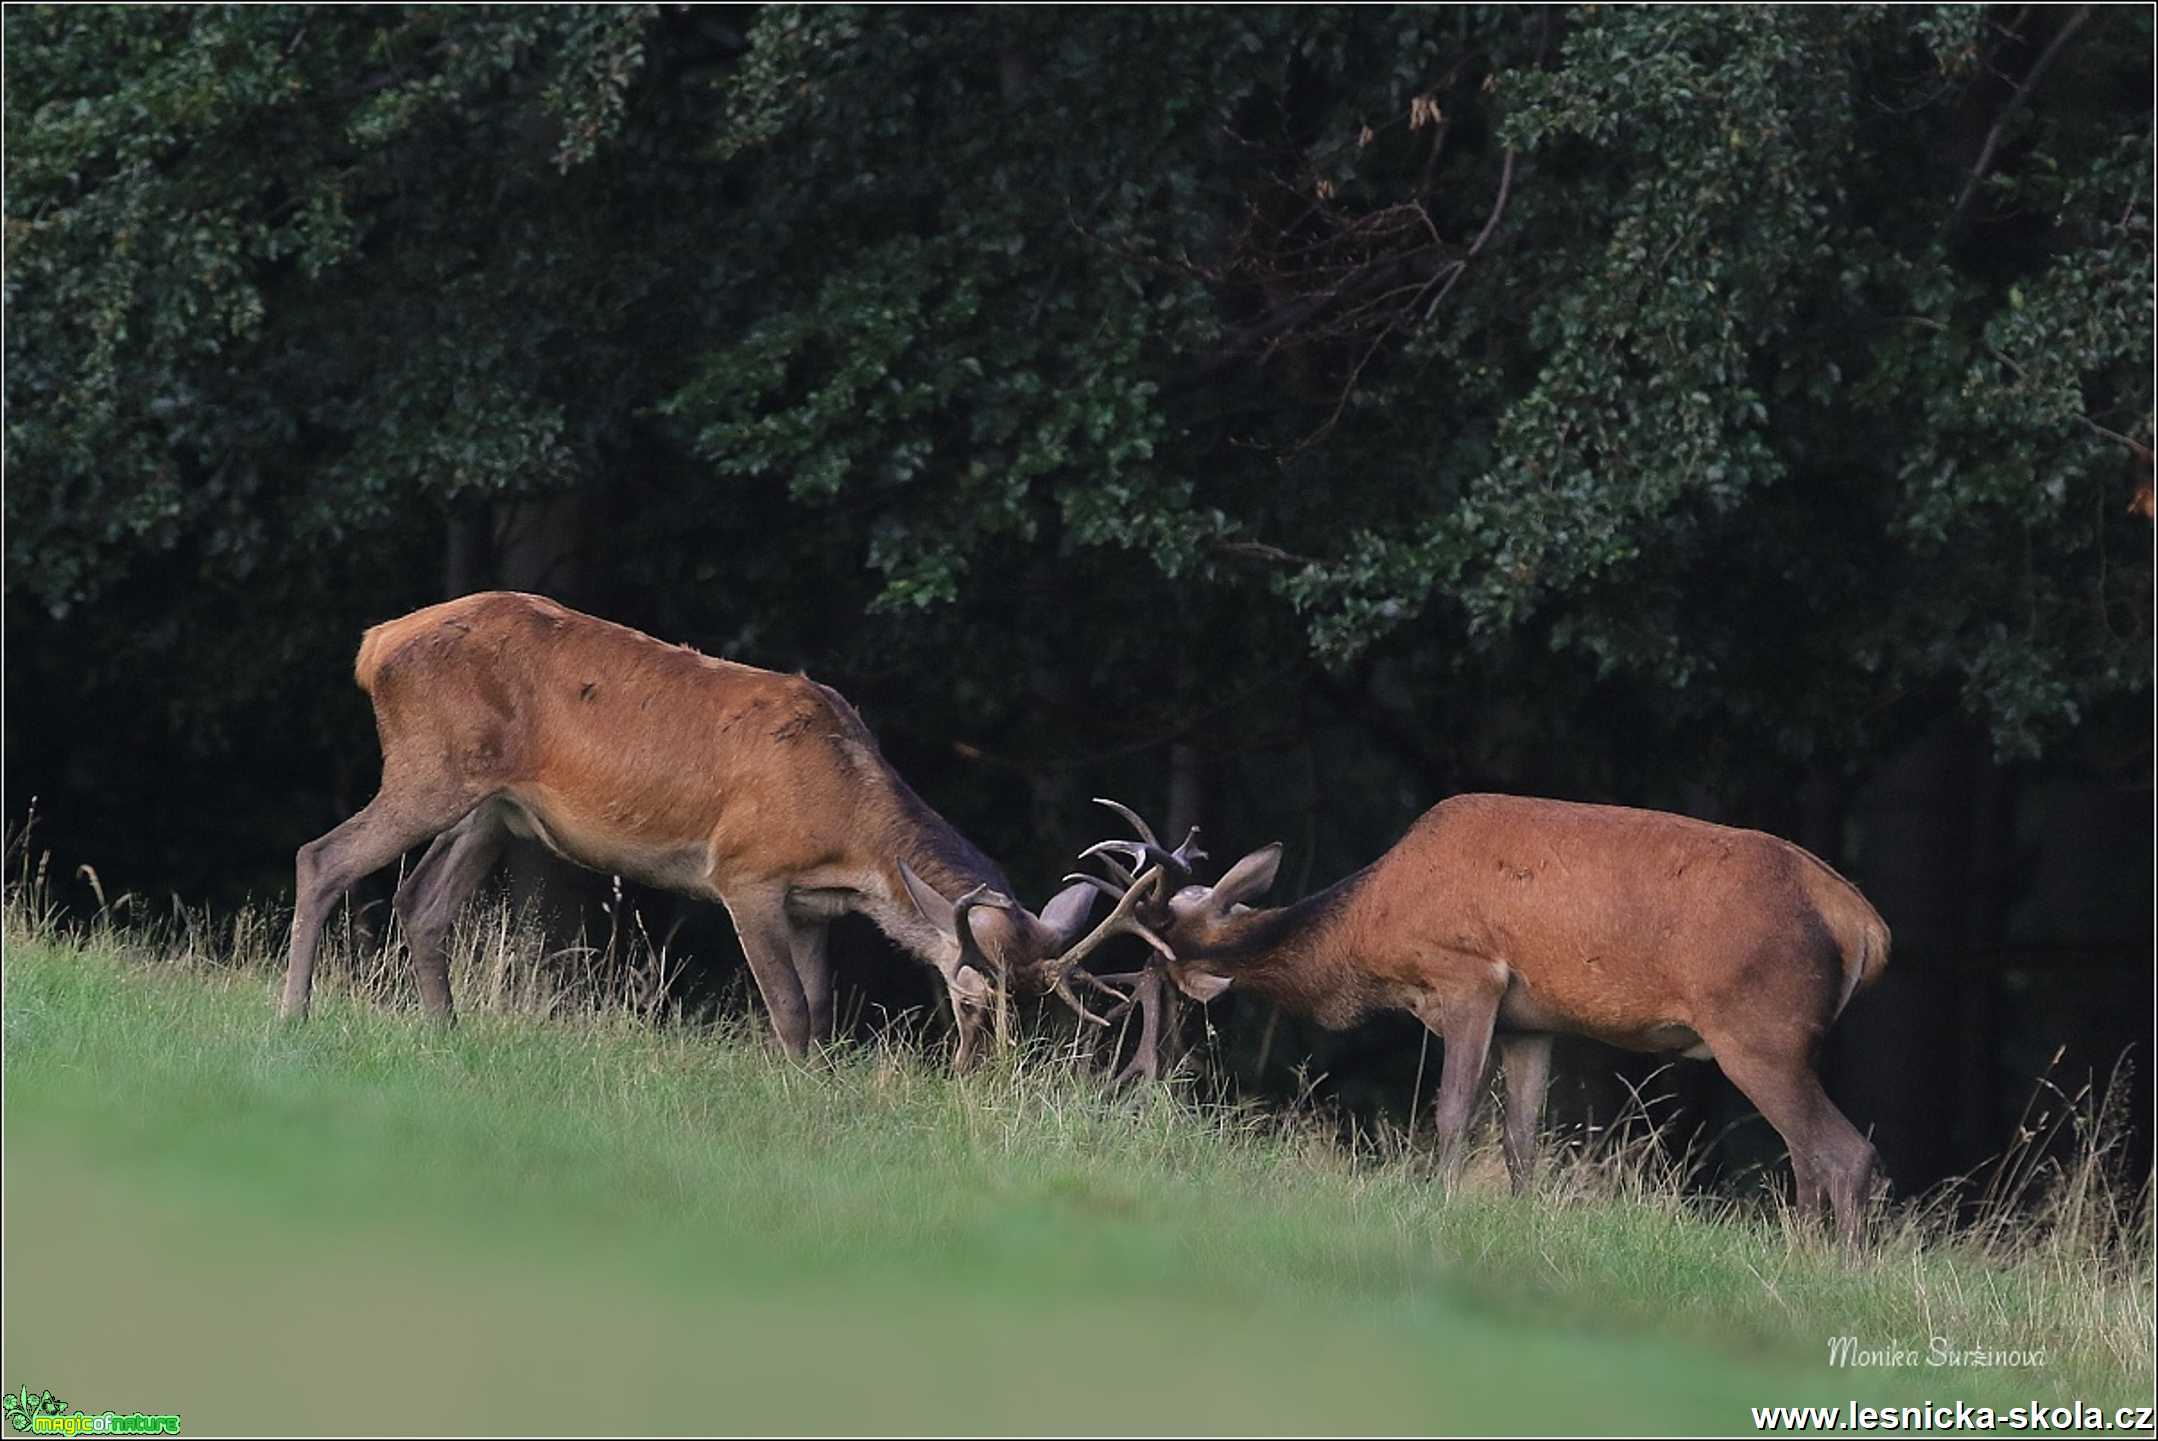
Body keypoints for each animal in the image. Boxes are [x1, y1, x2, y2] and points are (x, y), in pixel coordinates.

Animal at [280, 591, 1130, 1065]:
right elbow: (789, 1008)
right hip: (431, 766)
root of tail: (375, 645)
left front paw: (817, 1086)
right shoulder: (745, 871)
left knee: (422, 901)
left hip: (492, 805)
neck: (849, 837)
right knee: (321, 855)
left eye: (1035, 1007)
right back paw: (293, 1018)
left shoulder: (812, 907)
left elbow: (822, 1009)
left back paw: (447, 1035)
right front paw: (800, 1097)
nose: (976, 1077)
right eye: (975, 1000)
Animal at [1057, 793, 1890, 1242]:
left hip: (1757, 1028)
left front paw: (1436, 1202)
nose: (1149, 1066)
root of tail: (1865, 924)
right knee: (1808, 1159)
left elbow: (1452, 1112)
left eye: (1157, 972)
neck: (1372, 931)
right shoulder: (1533, 1021)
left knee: (1844, 1154)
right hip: (1780, 1041)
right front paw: (1516, 1222)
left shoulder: (1468, 976)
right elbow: (1522, 1141)